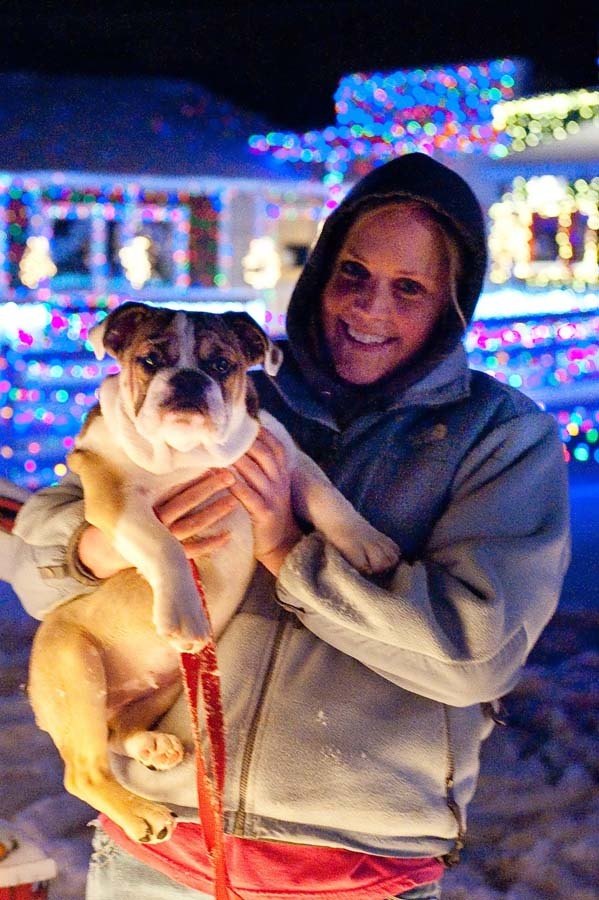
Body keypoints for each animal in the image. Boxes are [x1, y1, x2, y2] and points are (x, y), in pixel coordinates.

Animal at [27, 302, 398, 844]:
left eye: (221, 365)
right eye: (150, 360)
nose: (187, 380)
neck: (187, 454)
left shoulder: (288, 459)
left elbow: (329, 498)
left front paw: (368, 544)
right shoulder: (118, 500)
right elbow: (164, 545)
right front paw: (184, 612)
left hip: (161, 686)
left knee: (119, 731)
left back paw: (151, 745)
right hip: (76, 669)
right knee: (85, 773)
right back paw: (143, 814)